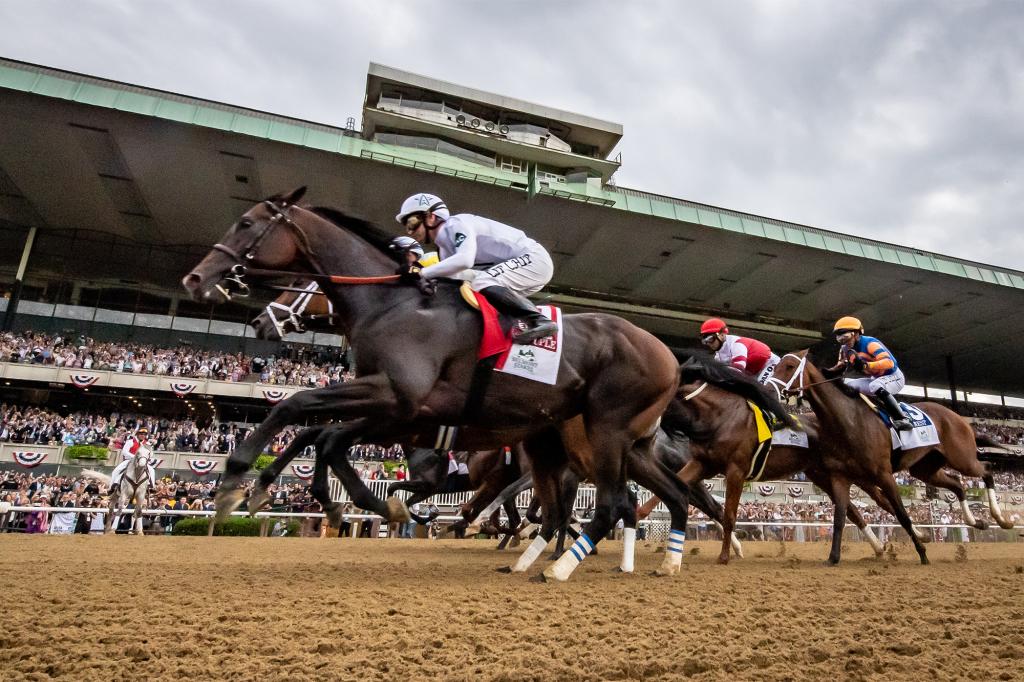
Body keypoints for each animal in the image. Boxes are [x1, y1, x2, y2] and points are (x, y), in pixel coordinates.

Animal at [186, 187, 688, 577]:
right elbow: (322, 435)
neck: (392, 303)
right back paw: (649, 560)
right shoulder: (393, 407)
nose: (195, 279)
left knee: (608, 504)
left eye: (246, 224)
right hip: (610, 442)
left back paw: (559, 566)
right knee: (657, 495)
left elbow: (298, 407)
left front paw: (236, 481)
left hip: (605, 430)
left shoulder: (395, 396)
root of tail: (669, 354)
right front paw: (340, 498)